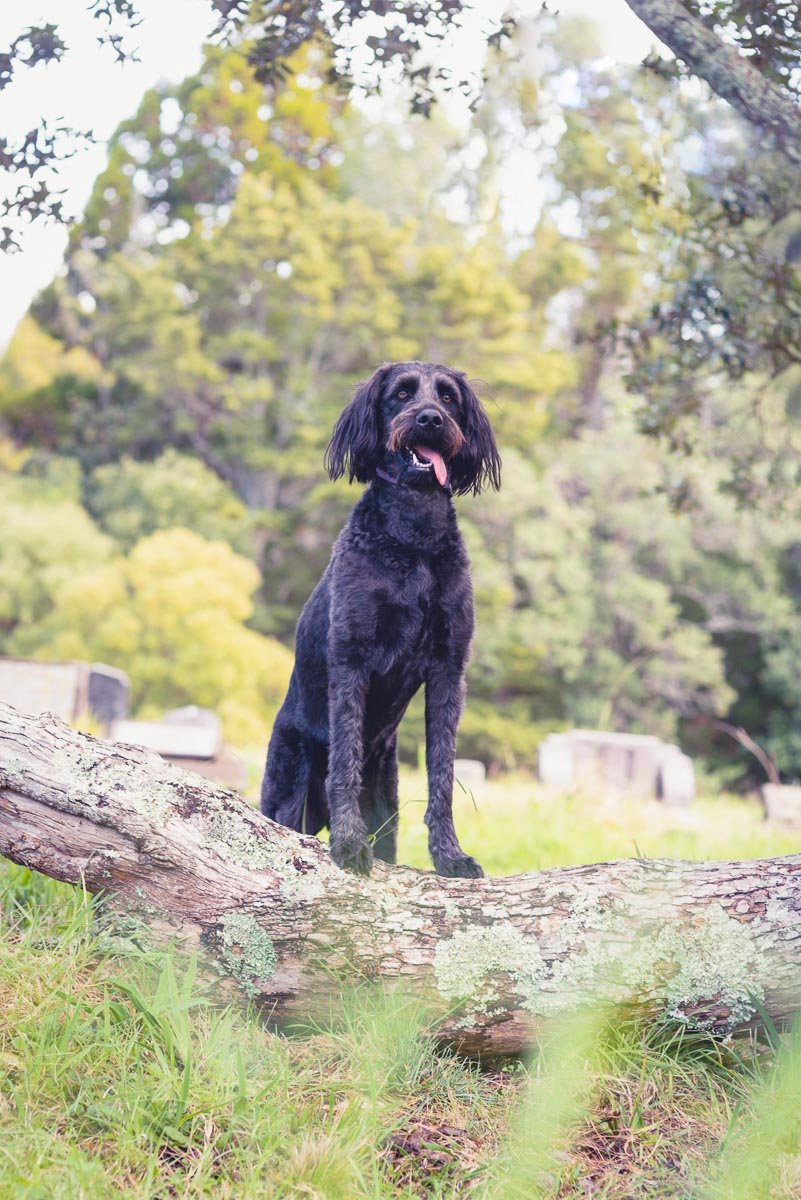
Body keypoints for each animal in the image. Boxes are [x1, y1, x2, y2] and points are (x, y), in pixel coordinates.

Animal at [261, 360, 501, 878]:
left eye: (448, 397)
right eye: (401, 394)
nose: (430, 419)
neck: (414, 539)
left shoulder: (449, 669)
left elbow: (442, 775)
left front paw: (449, 856)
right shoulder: (352, 659)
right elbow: (345, 760)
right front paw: (350, 844)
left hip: (386, 794)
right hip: (287, 788)